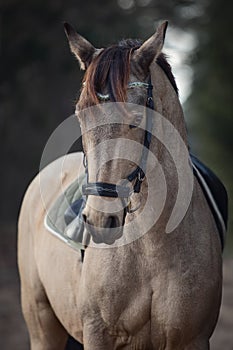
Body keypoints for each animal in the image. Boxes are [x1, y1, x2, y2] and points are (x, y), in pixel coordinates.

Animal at [17, 21, 222, 350]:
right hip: (42, 326)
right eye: (80, 115)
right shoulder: (98, 333)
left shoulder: (193, 339)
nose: (100, 220)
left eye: (136, 118)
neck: (152, 247)